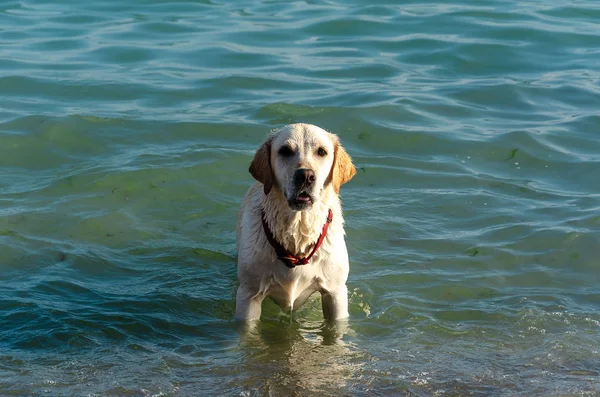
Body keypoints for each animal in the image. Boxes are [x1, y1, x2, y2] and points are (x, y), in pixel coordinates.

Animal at [236, 124, 356, 322]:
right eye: (285, 151)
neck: (298, 229)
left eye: (321, 152)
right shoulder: (248, 295)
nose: (306, 175)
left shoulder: (335, 293)